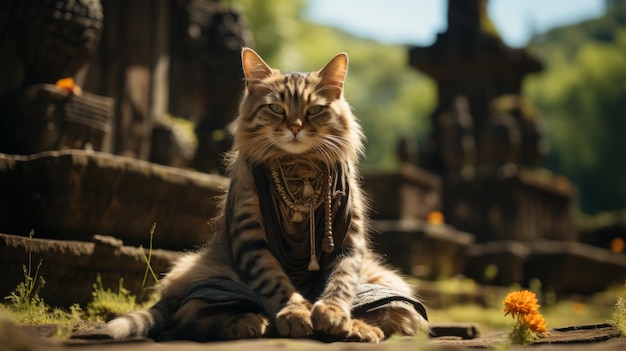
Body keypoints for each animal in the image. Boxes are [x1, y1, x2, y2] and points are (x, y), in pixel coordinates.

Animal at [107, 48, 428, 342]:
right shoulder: (251, 237)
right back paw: (251, 324)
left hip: (390, 283)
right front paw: (295, 314)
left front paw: (333, 314)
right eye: (276, 109)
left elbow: (341, 282)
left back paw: (360, 329)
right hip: (205, 277)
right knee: (198, 315)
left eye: (314, 110)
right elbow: (275, 282)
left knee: (393, 313)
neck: (299, 166)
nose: (295, 128)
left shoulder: (348, 240)